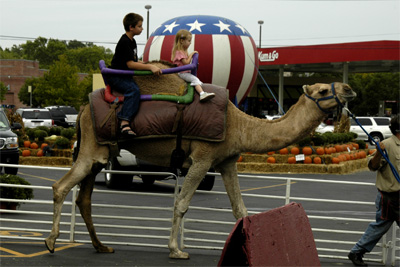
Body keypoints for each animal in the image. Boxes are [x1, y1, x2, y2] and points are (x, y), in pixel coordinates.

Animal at [43, 63, 356, 260]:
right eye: (322, 91)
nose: (349, 88)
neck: (239, 125)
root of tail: (83, 108)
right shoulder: (203, 157)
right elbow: (181, 204)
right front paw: (176, 250)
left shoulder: (227, 160)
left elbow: (240, 209)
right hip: (92, 149)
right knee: (61, 186)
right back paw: (50, 241)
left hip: (101, 152)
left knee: (84, 197)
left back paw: (101, 246)